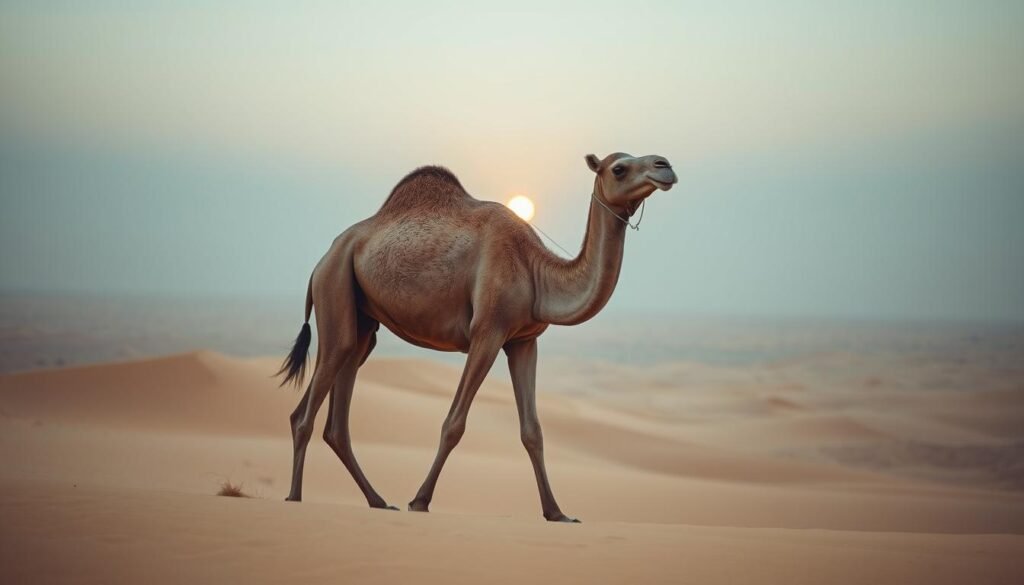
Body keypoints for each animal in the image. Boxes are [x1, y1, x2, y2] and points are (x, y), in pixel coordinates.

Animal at [278, 152, 677, 522]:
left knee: (335, 416)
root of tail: (323, 258)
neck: (536, 271)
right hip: (334, 285)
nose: (665, 166)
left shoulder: (524, 341)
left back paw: (377, 501)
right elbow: (454, 423)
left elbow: (533, 431)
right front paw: (419, 501)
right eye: (619, 168)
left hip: (362, 320)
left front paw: (557, 513)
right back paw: (295, 497)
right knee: (314, 401)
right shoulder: (488, 331)